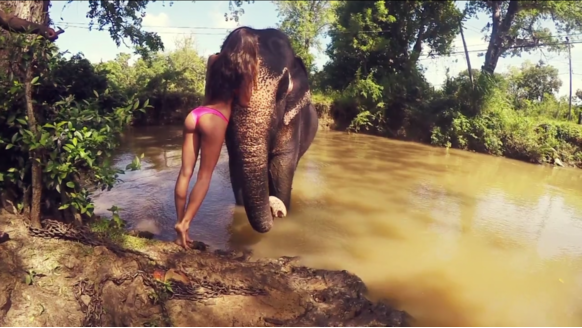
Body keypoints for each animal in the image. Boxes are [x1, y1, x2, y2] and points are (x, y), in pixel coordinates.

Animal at [216, 26, 320, 234]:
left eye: (284, 88)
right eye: (225, 86)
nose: (275, 211)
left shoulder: (292, 118)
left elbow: (282, 164)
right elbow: (235, 164)